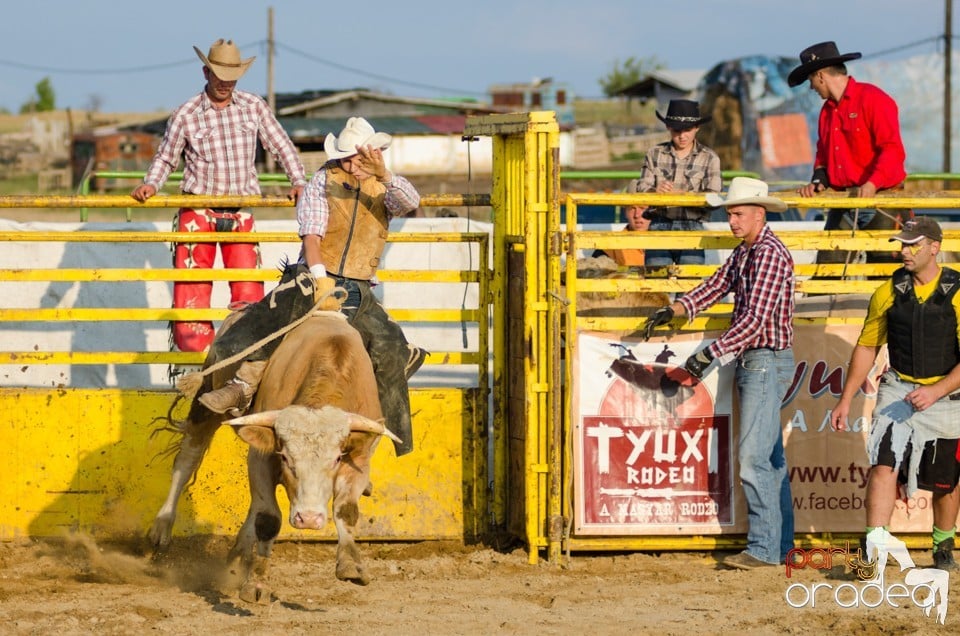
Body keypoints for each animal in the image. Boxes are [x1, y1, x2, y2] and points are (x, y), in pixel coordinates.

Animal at [148, 312, 392, 600]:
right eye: (285, 457)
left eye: (336, 460)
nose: (308, 519)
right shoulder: (261, 457)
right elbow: (268, 519)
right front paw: (257, 584)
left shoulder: (359, 460)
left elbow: (346, 509)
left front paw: (350, 565)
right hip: (205, 400)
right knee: (187, 460)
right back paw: (162, 529)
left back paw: (239, 555)